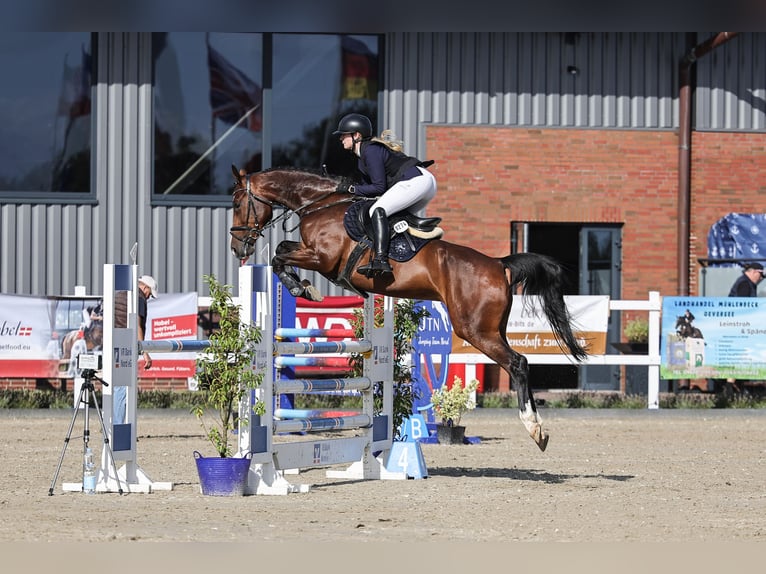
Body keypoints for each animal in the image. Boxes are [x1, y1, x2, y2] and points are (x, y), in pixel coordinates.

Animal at [229, 166, 588, 451]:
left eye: (236, 203)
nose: (236, 248)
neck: (319, 204)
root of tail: (499, 264)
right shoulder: (312, 254)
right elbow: (282, 250)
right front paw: (303, 286)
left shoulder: (322, 258)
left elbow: (279, 254)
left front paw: (302, 287)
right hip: (492, 327)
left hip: (474, 329)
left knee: (518, 363)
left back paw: (536, 430)